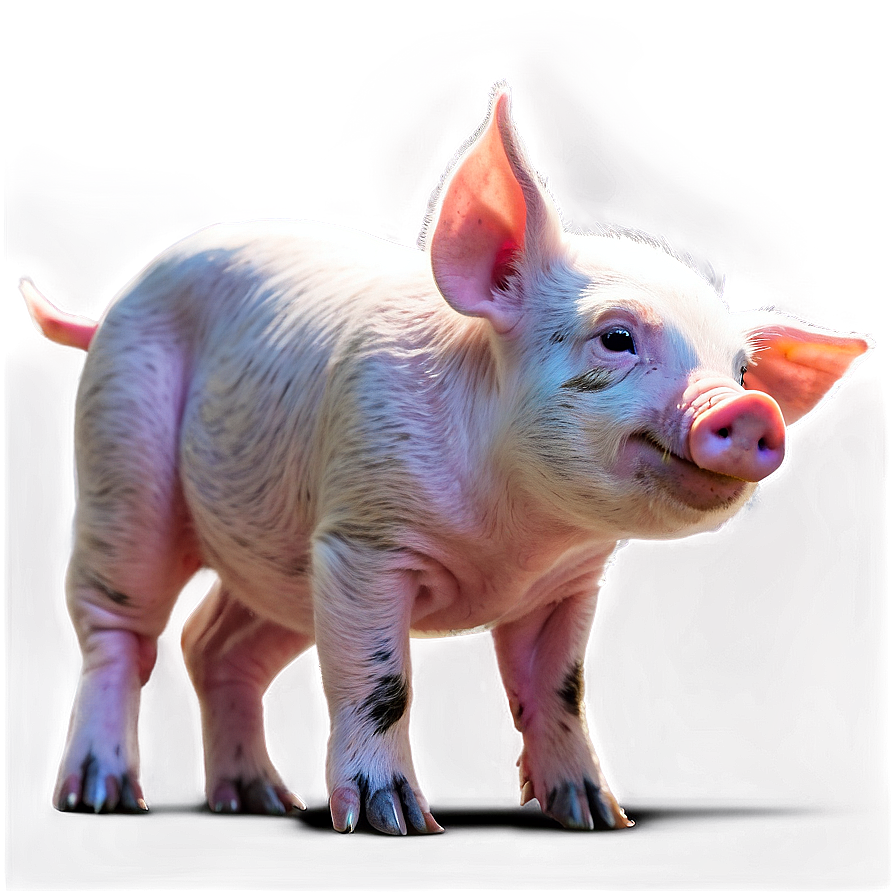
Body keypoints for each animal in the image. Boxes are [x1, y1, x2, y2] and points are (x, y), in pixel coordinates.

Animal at [21, 81, 874, 835]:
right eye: (616, 337)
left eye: (741, 369)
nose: (750, 410)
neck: (515, 544)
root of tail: (113, 307)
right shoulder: (362, 539)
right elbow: (379, 683)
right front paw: (394, 822)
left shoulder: (565, 584)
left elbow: (557, 689)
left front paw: (596, 816)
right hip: (123, 449)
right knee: (118, 627)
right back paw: (100, 796)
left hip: (284, 559)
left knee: (214, 647)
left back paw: (263, 801)